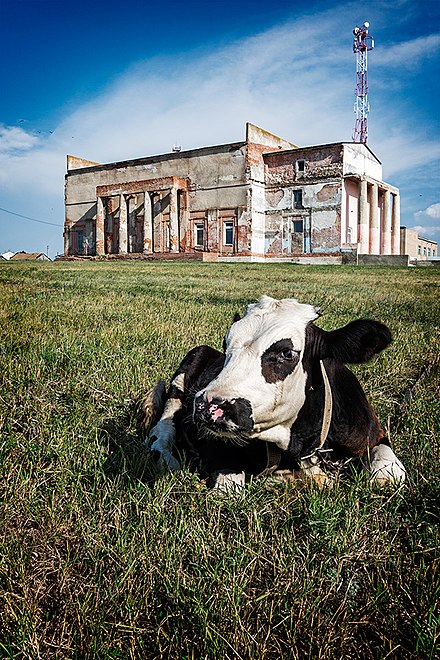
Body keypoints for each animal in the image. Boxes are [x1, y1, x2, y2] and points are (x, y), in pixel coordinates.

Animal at [142, 296, 406, 490]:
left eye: (287, 353)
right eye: (226, 344)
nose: (209, 405)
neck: (300, 445)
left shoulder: (372, 432)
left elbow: (389, 475)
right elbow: (227, 488)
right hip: (187, 368)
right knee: (163, 428)